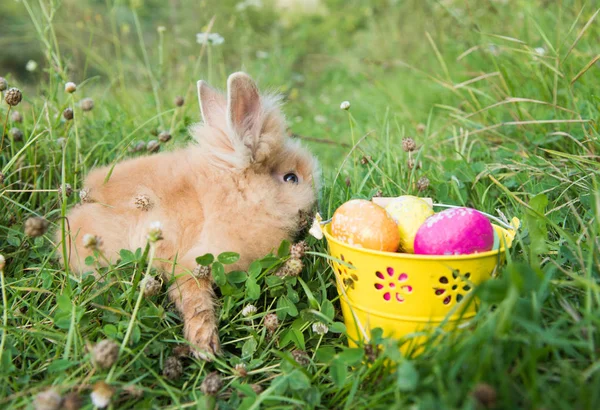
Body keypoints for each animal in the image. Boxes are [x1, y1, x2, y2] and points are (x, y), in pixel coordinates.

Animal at [61, 72, 322, 358]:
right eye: (291, 178)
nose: (314, 207)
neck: (237, 194)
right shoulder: (193, 263)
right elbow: (196, 299)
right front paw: (206, 346)